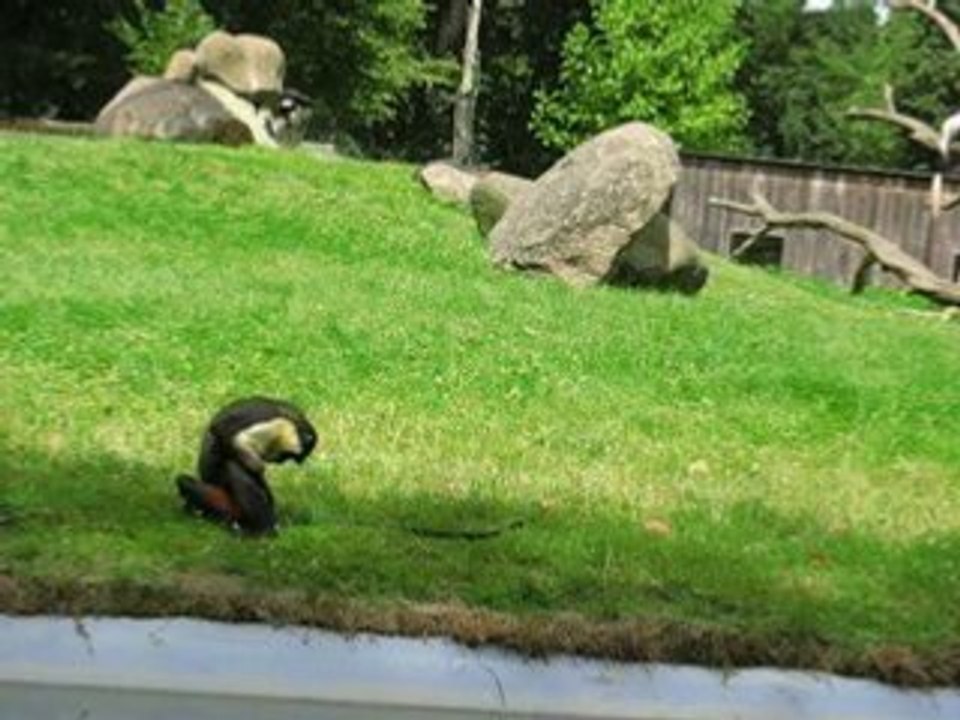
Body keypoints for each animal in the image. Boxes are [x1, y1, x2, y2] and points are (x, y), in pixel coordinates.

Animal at [175, 397, 318, 536]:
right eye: (287, 456)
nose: (280, 461)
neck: (294, 421)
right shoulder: (278, 425)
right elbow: (227, 434)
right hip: (225, 499)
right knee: (232, 467)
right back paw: (263, 530)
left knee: (185, 481)